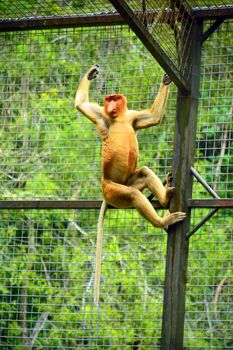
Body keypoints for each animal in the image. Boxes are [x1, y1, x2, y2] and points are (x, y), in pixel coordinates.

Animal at [74, 65, 186, 304]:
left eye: (115, 99)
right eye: (108, 100)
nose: (111, 105)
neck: (119, 117)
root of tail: (105, 191)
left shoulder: (132, 115)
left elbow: (152, 117)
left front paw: (166, 80)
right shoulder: (101, 114)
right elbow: (81, 105)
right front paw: (90, 73)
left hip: (130, 181)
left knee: (143, 172)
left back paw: (165, 198)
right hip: (114, 191)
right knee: (134, 196)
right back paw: (163, 221)